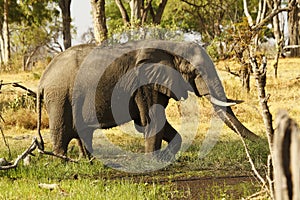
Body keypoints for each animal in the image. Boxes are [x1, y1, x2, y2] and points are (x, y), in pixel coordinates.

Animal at [37, 40, 258, 159]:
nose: (261, 142)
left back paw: (88, 162)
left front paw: (163, 158)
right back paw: (65, 162)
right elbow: (153, 120)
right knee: (62, 132)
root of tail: (43, 79)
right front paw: (152, 161)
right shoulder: (144, 84)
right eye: (197, 72)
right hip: (59, 96)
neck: (171, 47)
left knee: (82, 131)